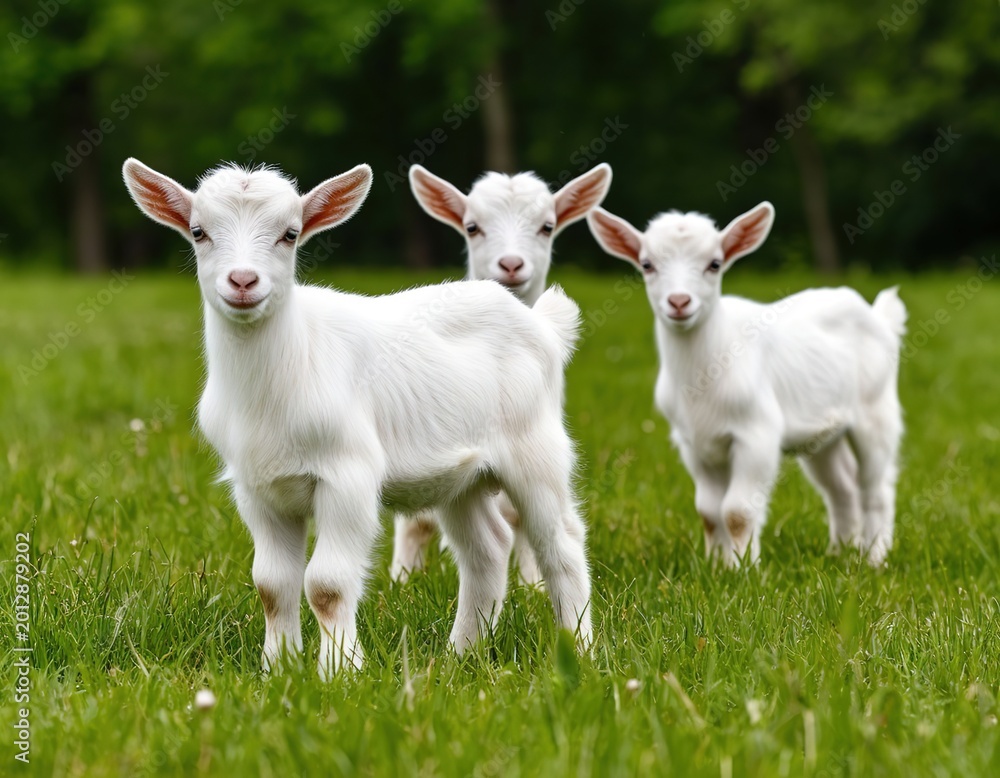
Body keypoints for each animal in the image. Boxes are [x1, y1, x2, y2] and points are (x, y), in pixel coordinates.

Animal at [390, 163, 611, 584]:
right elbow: (417, 518)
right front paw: (403, 580)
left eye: (547, 226)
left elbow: (517, 515)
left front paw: (531, 582)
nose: (510, 265)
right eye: (472, 227)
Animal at [588, 201, 906, 566]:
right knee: (842, 486)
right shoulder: (694, 442)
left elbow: (737, 511)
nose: (679, 302)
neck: (703, 374)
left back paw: (874, 557)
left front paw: (744, 568)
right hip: (823, 433)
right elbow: (709, 511)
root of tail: (878, 316)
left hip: (876, 411)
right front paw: (717, 566)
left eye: (714, 264)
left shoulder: (756, 435)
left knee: (876, 488)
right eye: (647, 264)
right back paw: (841, 552)